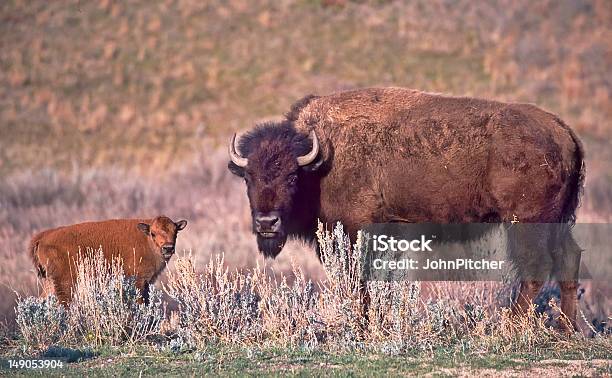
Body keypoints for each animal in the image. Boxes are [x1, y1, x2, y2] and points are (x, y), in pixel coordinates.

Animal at [28, 216, 186, 304]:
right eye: (153, 233)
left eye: (175, 232)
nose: (168, 248)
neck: (145, 239)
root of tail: (43, 237)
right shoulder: (138, 280)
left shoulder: (147, 282)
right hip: (65, 281)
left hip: (50, 280)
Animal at [227, 87, 584, 330]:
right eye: (248, 177)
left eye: (291, 177)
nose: (267, 223)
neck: (319, 161)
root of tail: (563, 131)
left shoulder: (356, 231)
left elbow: (360, 280)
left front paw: (362, 324)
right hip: (558, 221)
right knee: (568, 258)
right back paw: (565, 330)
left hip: (526, 223)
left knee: (536, 268)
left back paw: (511, 327)